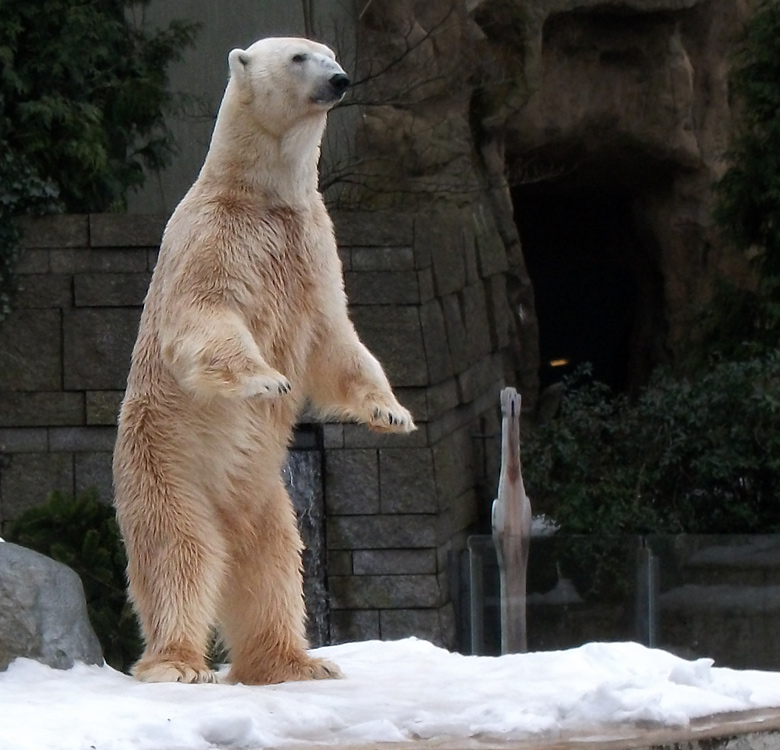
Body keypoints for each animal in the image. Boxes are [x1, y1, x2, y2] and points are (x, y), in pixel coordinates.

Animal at [112, 39, 414, 688]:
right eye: (299, 56)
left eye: (330, 53)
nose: (340, 79)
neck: (264, 198)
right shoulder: (213, 236)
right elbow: (203, 315)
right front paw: (266, 381)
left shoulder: (313, 245)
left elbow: (335, 342)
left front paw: (392, 414)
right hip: (168, 469)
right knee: (180, 554)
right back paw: (178, 664)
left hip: (265, 496)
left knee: (272, 568)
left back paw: (295, 663)